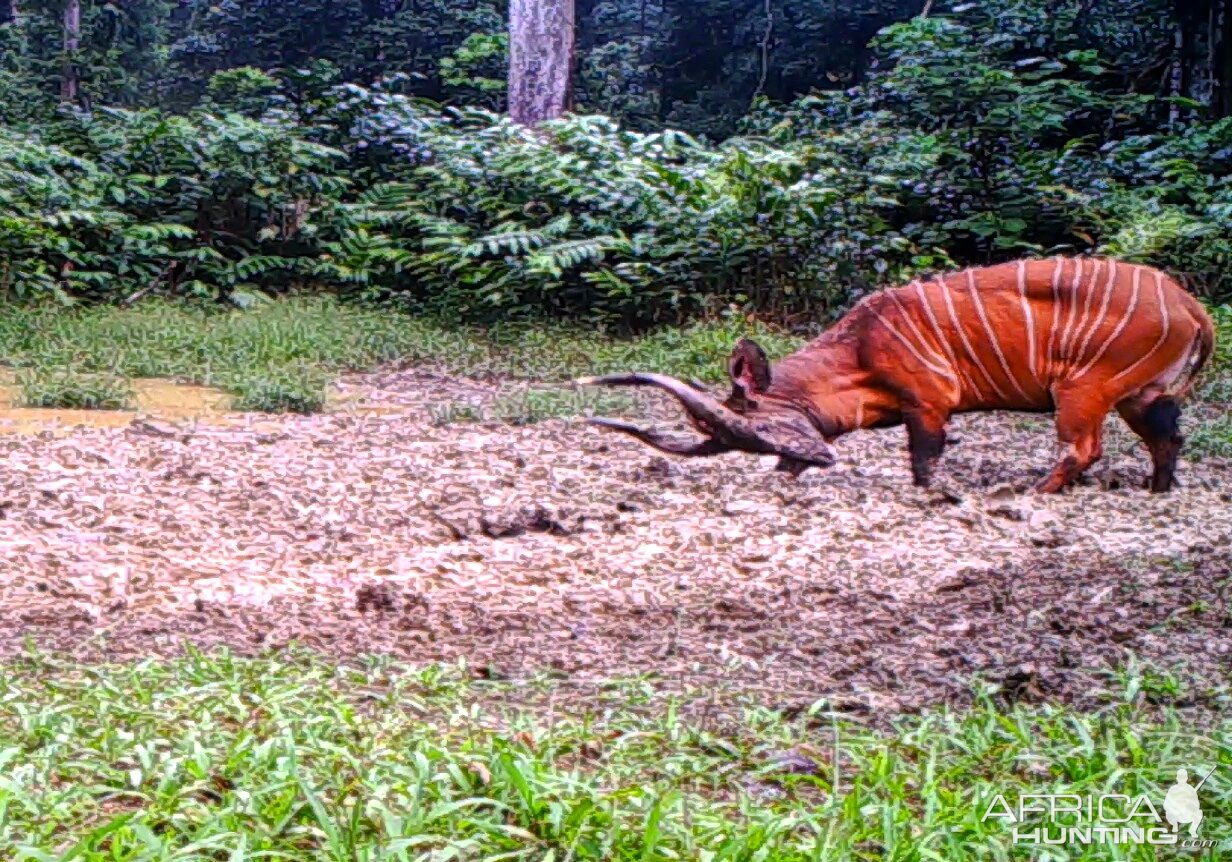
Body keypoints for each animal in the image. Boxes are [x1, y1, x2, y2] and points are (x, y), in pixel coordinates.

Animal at [576, 257, 1212, 492]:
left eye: (758, 425)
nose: (815, 461)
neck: (861, 346)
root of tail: (1190, 306)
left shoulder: (928, 401)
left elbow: (924, 458)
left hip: (1081, 389)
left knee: (1084, 447)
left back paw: (1027, 491)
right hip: (1141, 394)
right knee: (1167, 438)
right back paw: (1158, 490)